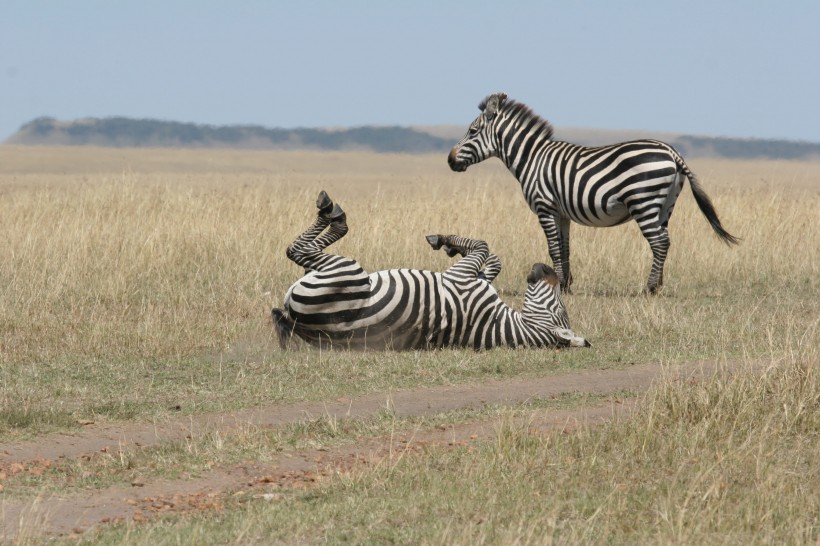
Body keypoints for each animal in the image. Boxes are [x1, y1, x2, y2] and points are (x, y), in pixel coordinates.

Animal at [272, 191, 588, 348]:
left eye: (559, 308)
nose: (543, 267)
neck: (500, 324)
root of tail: (299, 322)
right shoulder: (474, 279)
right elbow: (492, 258)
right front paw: (451, 246)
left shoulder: (462, 279)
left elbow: (483, 246)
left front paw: (443, 240)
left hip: (348, 272)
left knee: (298, 250)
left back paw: (332, 211)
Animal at [446, 92, 740, 294]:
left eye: (472, 131)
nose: (449, 160)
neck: (532, 158)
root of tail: (672, 153)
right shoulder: (562, 213)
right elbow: (564, 248)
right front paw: (565, 285)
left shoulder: (545, 207)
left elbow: (553, 248)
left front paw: (557, 286)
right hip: (666, 205)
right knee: (665, 241)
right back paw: (659, 284)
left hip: (643, 202)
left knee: (659, 242)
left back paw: (649, 288)